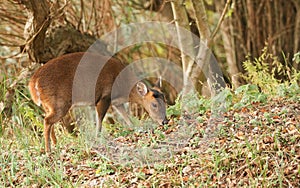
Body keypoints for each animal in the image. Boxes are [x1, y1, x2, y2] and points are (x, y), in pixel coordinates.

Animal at [29, 52, 169, 152]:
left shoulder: (116, 102)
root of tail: (33, 82)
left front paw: (136, 128)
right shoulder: (104, 96)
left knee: (48, 120)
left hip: (49, 104)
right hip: (60, 103)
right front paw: (98, 137)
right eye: (154, 104)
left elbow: (125, 116)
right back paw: (48, 150)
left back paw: (55, 144)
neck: (122, 87)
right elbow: (100, 118)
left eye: (165, 100)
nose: (165, 121)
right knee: (47, 121)